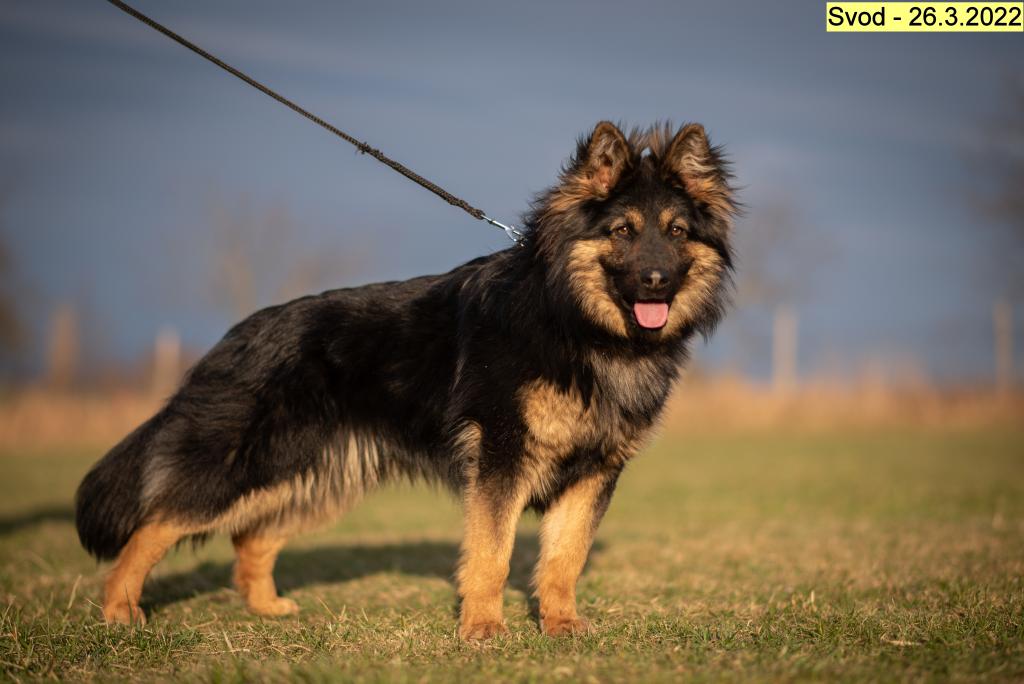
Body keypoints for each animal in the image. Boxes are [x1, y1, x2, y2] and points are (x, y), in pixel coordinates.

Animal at [75, 121, 737, 639]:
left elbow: (564, 559)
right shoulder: (502, 459)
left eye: (676, 232)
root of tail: (239, 332)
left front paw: (562, 625)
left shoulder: (594, 472)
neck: (579, 325)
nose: (656, 282)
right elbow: (492, 553)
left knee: (251, 539)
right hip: (244, 467)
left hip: (309, 475)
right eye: (623, 231)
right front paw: (483, 629)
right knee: (155, 525)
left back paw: (267, 609)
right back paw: (119, 611)